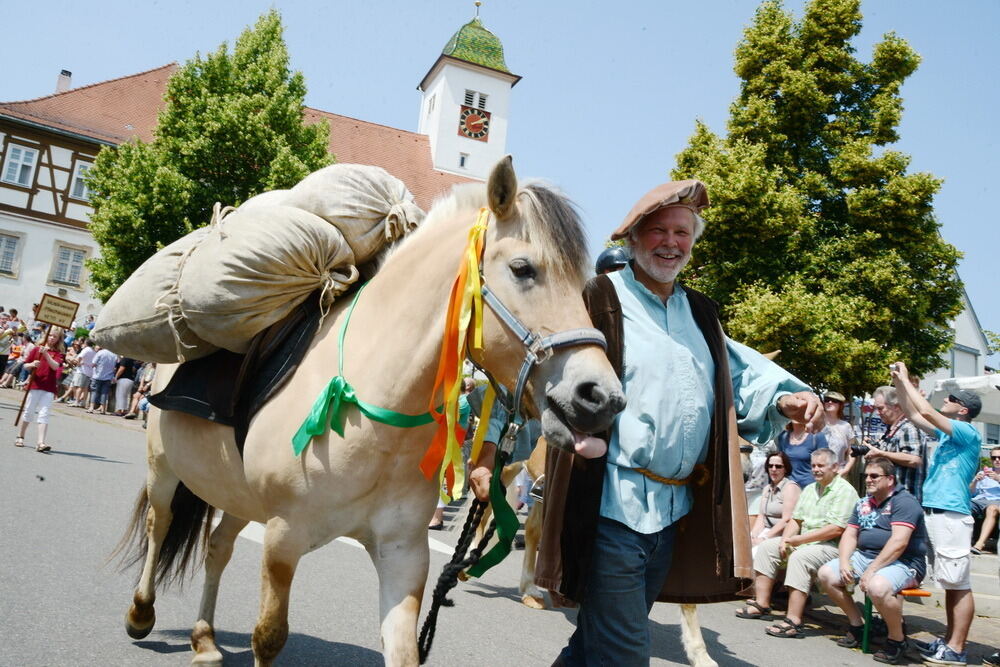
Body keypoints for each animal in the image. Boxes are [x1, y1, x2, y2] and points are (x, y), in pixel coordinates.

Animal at [115, 158, 624, 667]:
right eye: (523, 268)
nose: (601, 398)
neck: (376, 419)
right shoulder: (283, 539)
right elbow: (269, 636)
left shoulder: (403, 554)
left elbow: (404, 650)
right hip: (164, 470)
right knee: (160, 523)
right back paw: (141, 613)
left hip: (235, 490)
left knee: (217, 546)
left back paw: (204, 639)